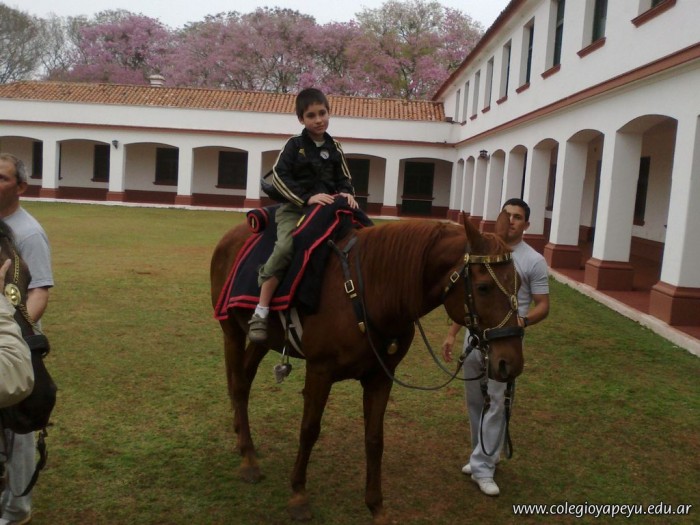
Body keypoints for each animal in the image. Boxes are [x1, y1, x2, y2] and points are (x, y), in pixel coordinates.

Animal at [210, 209, 523, 524]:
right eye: (483, 288)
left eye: (519, 284)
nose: (511, 362)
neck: (371, 291)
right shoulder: (319, 371)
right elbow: (309, 430)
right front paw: (298, 494)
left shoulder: (380, 377)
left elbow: (374, 439)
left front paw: (376, 506)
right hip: (230, 330)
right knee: (238, 384)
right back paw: (249, 459)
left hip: (261, 340)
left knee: (244, 378)